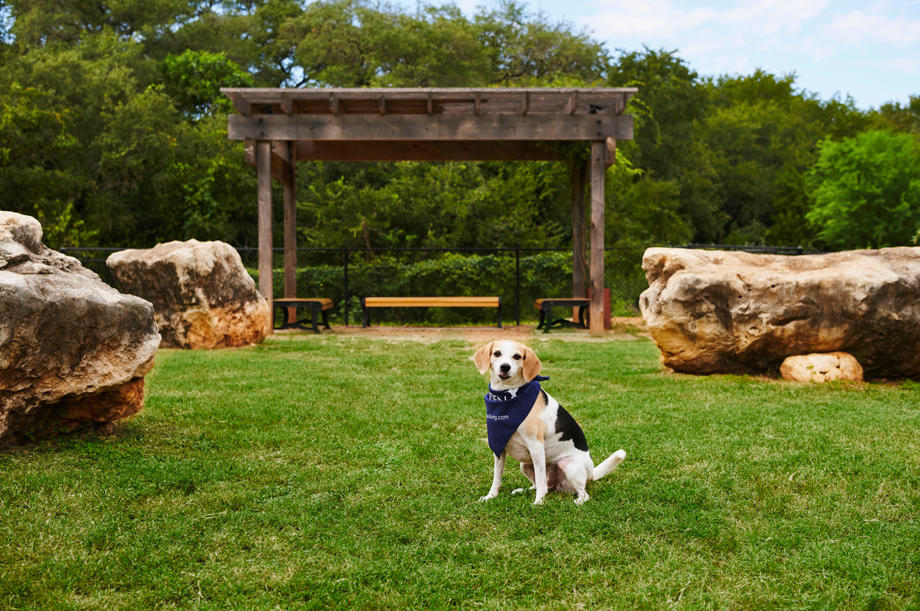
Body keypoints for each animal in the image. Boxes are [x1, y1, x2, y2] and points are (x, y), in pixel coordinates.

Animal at [474, 340, 624, 506]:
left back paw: (578, 501)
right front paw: (490, 496)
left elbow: (540, 482)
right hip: (525, 464)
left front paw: (538, 502)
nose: (505, 366)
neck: (507, 396)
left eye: (517, 356)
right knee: (541, 484)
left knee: (581, 493)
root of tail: (590, 473)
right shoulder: (499, 448)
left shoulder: (536, 446)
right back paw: (523, 490)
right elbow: (497, 478)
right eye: (497, 353)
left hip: (568, 465)